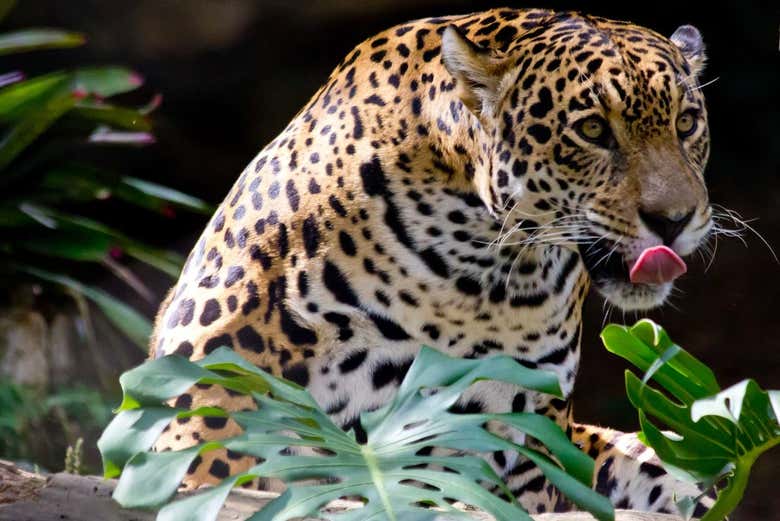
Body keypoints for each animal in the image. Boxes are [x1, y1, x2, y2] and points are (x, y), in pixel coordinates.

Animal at [150, 8, 715, 516]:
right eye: (594, 130)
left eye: (686, 124)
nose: (674, 220)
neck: (483, 277)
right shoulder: (212, 376)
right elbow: (215, 456)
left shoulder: (527, 437)